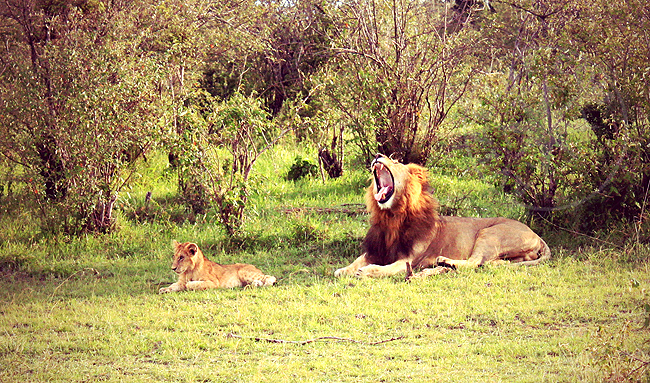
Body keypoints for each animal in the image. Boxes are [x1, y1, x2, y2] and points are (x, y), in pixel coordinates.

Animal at [332, 155, 548, 280]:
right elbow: (357, 260)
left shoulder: (408, 261)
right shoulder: (375, 250)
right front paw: (343, 270)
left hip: (490, 233)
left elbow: (385, 268)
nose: (377, 155)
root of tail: (537, 236)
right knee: (487, 264)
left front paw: (367, 271)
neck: (391, 217)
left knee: (474, 262)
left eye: (395, 162)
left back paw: (445, 261)